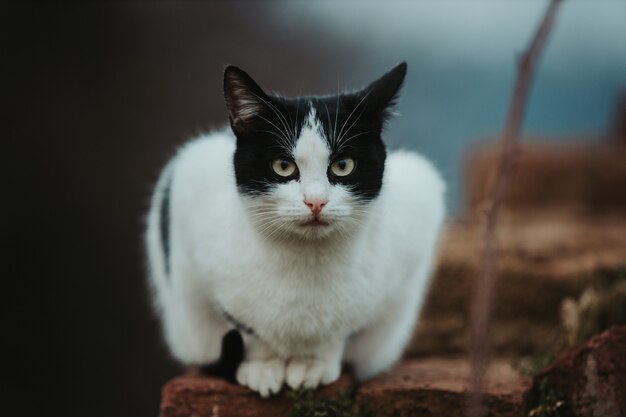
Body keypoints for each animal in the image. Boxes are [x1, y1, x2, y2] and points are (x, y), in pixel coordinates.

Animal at [144, 62, 444, 396]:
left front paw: (313, 365)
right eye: (283, 166)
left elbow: (342, 330)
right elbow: (244, 328)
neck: (306, 261)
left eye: (343, 165)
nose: (315, 202)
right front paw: (263, 367)